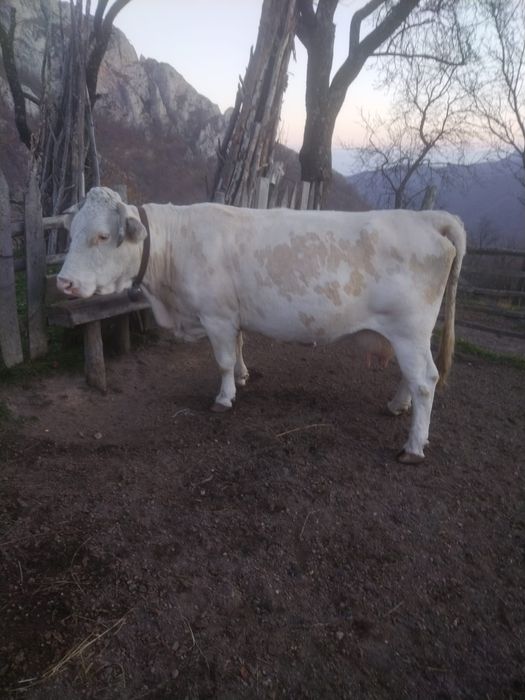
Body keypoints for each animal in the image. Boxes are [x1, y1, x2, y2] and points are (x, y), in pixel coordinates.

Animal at [57, 187, 466, 464]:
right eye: (71, 232)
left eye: (102, 236)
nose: (64, 282)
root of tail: (427, 217)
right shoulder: (232, 315)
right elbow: (238, 348)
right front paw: (242, 377)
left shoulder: (217, 315)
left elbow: (222, 360)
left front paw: (224, 397)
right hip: (408, 335)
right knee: (411, 377)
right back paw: (397, 405)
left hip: (410, 330)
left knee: (425, 380)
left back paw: (413, 446)